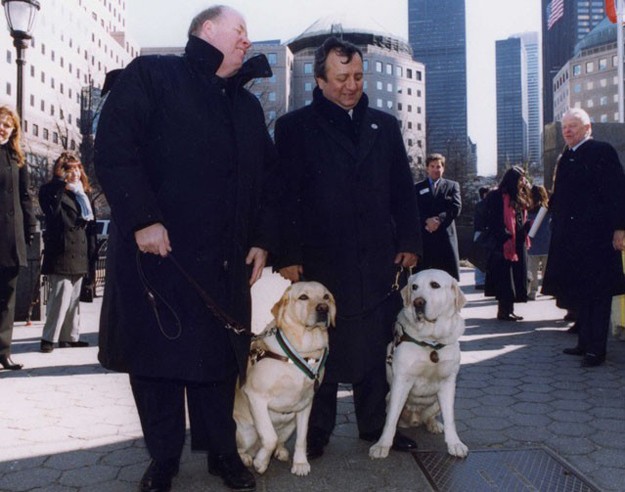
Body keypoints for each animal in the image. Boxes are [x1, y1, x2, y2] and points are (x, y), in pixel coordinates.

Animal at [232, 280, 334, 476]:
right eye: (303, 297)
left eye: (326, 296)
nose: (323, 308)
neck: (304, 351)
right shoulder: (256, 397)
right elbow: (269, 437)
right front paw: (261, 463)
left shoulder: (305, 403)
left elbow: (302, 438)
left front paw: (300, 463)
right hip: (246, 431)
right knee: (243, 447)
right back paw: (247, 458)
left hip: (289, 425)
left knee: (279, 441)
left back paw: (280, 451)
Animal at [368, 270, 466, 458]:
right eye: (414, 287)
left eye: (435, 285)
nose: (417, 302)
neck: (431, 341)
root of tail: (414, 419)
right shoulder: (401, 381)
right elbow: (391, 420)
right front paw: (382, 445)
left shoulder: (448, 382)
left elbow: (450, 418)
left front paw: (455, 443)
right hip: (388, 397)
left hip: (437, 402)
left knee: (430, 417)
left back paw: (434, 424)